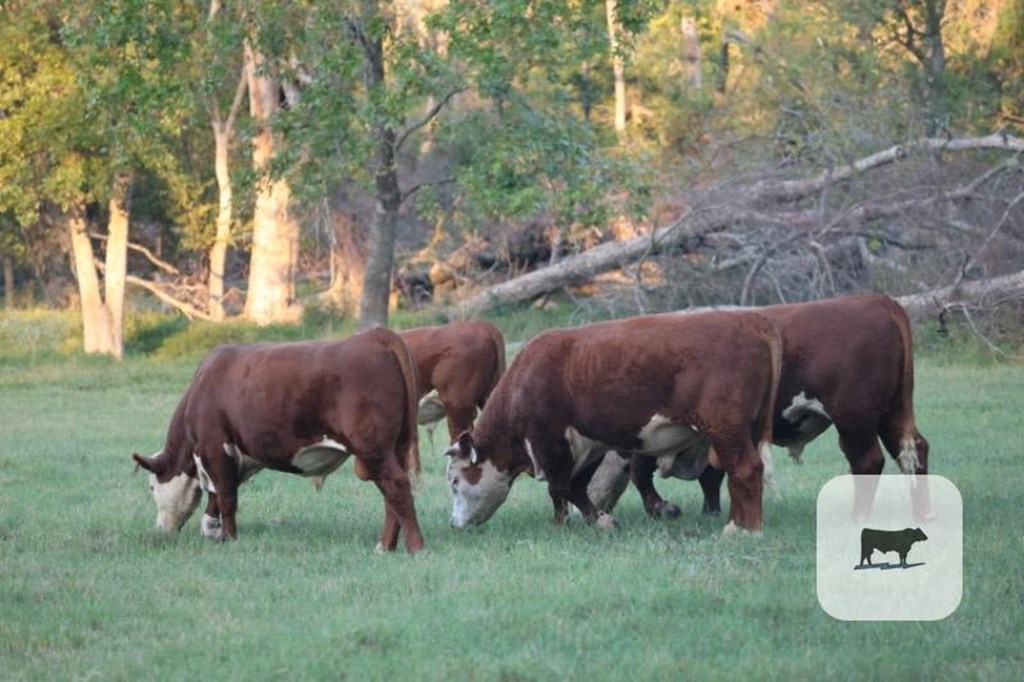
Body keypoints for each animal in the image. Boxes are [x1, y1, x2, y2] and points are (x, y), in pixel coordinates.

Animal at [130, 325, 425, 552]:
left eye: (151, 487)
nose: (160, 529)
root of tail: (373, 335)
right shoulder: (225, 457)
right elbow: (216, 495)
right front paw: (214, 532)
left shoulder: (214, 447)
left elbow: (226, 497)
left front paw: (229, 538)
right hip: (395, 446)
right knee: (391, 495)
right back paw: (386, 546)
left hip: (373, 449)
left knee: (396, 486)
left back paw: (413, 547)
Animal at [444, 311, 778, 532]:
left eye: (455, 482)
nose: (454, 523)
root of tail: (752, 325)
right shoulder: (590, 444)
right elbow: (578, 487)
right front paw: (599, 519)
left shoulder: (550, 442)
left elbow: (559, 488)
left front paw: (560, 523)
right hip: (745, 430)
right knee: (736, 476)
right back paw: (737, 520)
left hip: (727, 429)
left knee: (746, 469)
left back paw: (744, 529)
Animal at [593, 292, 937, 520]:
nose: (596, 507)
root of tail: (873, 300)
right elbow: (711, 475)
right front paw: (712, 512)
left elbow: (641, 473)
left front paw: (662, 508)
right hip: (891, 412)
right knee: (913, 451)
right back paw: (923, 514)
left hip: (855, 417)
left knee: (867, 461)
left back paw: (858, 517)